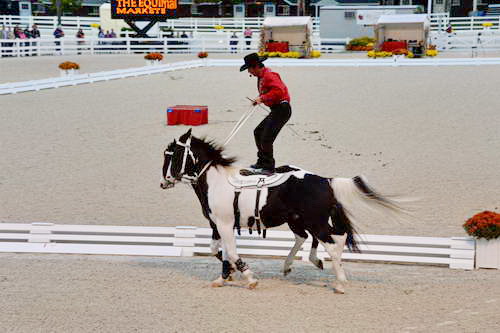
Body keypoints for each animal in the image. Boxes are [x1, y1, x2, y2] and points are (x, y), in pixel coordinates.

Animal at [162, 128, 404, 292]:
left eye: (172, 156)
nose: (163, 182)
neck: (216, 180)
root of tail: (325, 180)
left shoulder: (224, 223)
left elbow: (230, 252)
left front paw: (249, 278)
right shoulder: (216, 224)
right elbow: (217, 250)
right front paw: (225, 276)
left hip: (314, 221)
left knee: (333, 242)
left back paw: (340, 283)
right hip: (299, 220)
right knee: (314, 237)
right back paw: (300, 265)